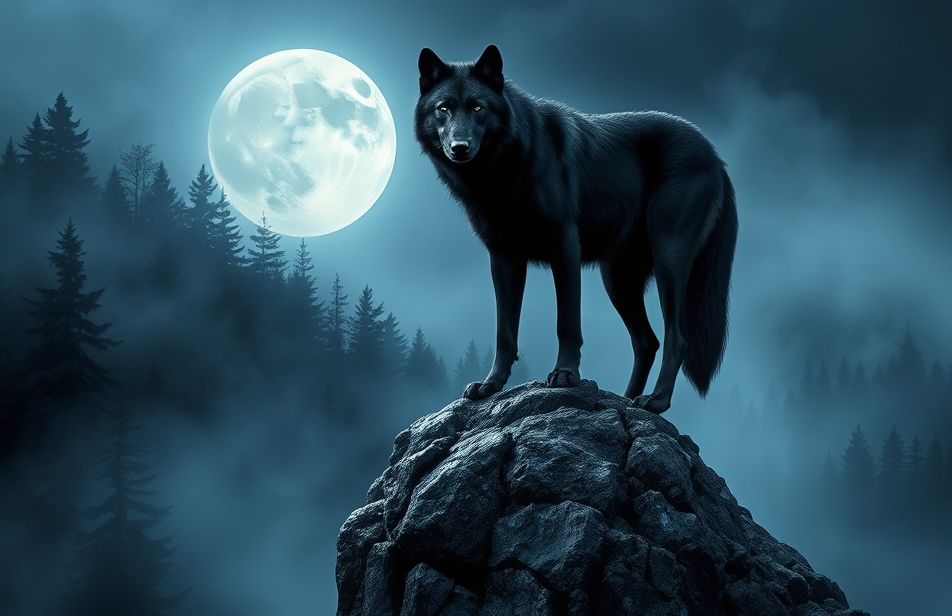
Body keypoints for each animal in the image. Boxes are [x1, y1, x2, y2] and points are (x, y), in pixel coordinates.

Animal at [414, 45, 737, 414]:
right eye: (443, 109)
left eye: (478, 108)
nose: (460, 147)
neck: (503, 171)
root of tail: (715, 155)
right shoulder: (504, 259)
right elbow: (504, 332)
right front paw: (491, 385)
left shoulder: (565, 247)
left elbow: (566, 322)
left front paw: (566, 375)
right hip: (617, 280)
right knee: (647, 341)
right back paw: (625, 398)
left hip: (668, 261)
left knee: (676, 338)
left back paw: (655, 401)